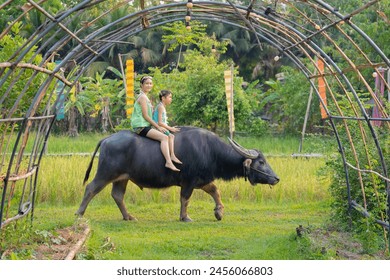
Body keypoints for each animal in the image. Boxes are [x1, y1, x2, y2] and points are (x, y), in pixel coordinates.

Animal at [74, 126, 278, 221]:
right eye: (261, 162)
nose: (276, 178)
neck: (210, 150)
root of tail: (107, 138)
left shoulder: (202, 180)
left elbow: (215, 191)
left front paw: (219, 212)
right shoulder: (189, 181)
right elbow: (185, 199)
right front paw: (185, 217)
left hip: (122, 178)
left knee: (117, 195)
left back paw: (128, 217)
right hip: (105, 173)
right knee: (91, 188)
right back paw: (79, 213)